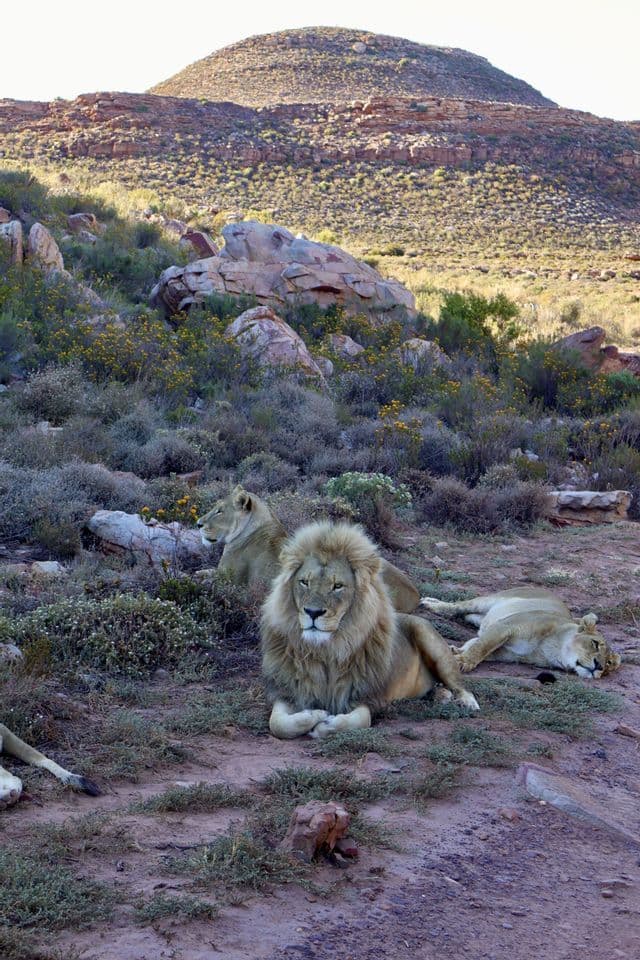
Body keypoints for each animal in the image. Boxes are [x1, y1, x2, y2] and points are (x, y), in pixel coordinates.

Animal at [197, 485, 421, 613]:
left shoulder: (230, 579)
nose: (198, 524)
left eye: (219, 511)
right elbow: (204, 570)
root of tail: (415, 594)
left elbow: (207, 577)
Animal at [261, 521, 479, 739]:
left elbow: (358, 721)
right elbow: (278, 724)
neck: (327, 649)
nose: (313, 612)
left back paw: (467, 702)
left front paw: (325, 724)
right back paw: (441, 695)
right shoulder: (288, 691)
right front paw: (315, 714)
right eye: (304, 582)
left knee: (459, 684)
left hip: (431, 642)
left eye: (337, 586)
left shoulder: (365, 697)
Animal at [421, 587, 621, 679]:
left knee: (469, 616)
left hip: (480, 617)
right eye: (595, 644)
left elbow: (479, 646)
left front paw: (456, 652)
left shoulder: (503, 651)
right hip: (489, 600)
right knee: (458, 606)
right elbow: (481, 647)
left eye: (609, 663)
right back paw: (430, 604)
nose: (599, 666)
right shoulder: (505, 626)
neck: (552, 650)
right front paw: (462, 661)